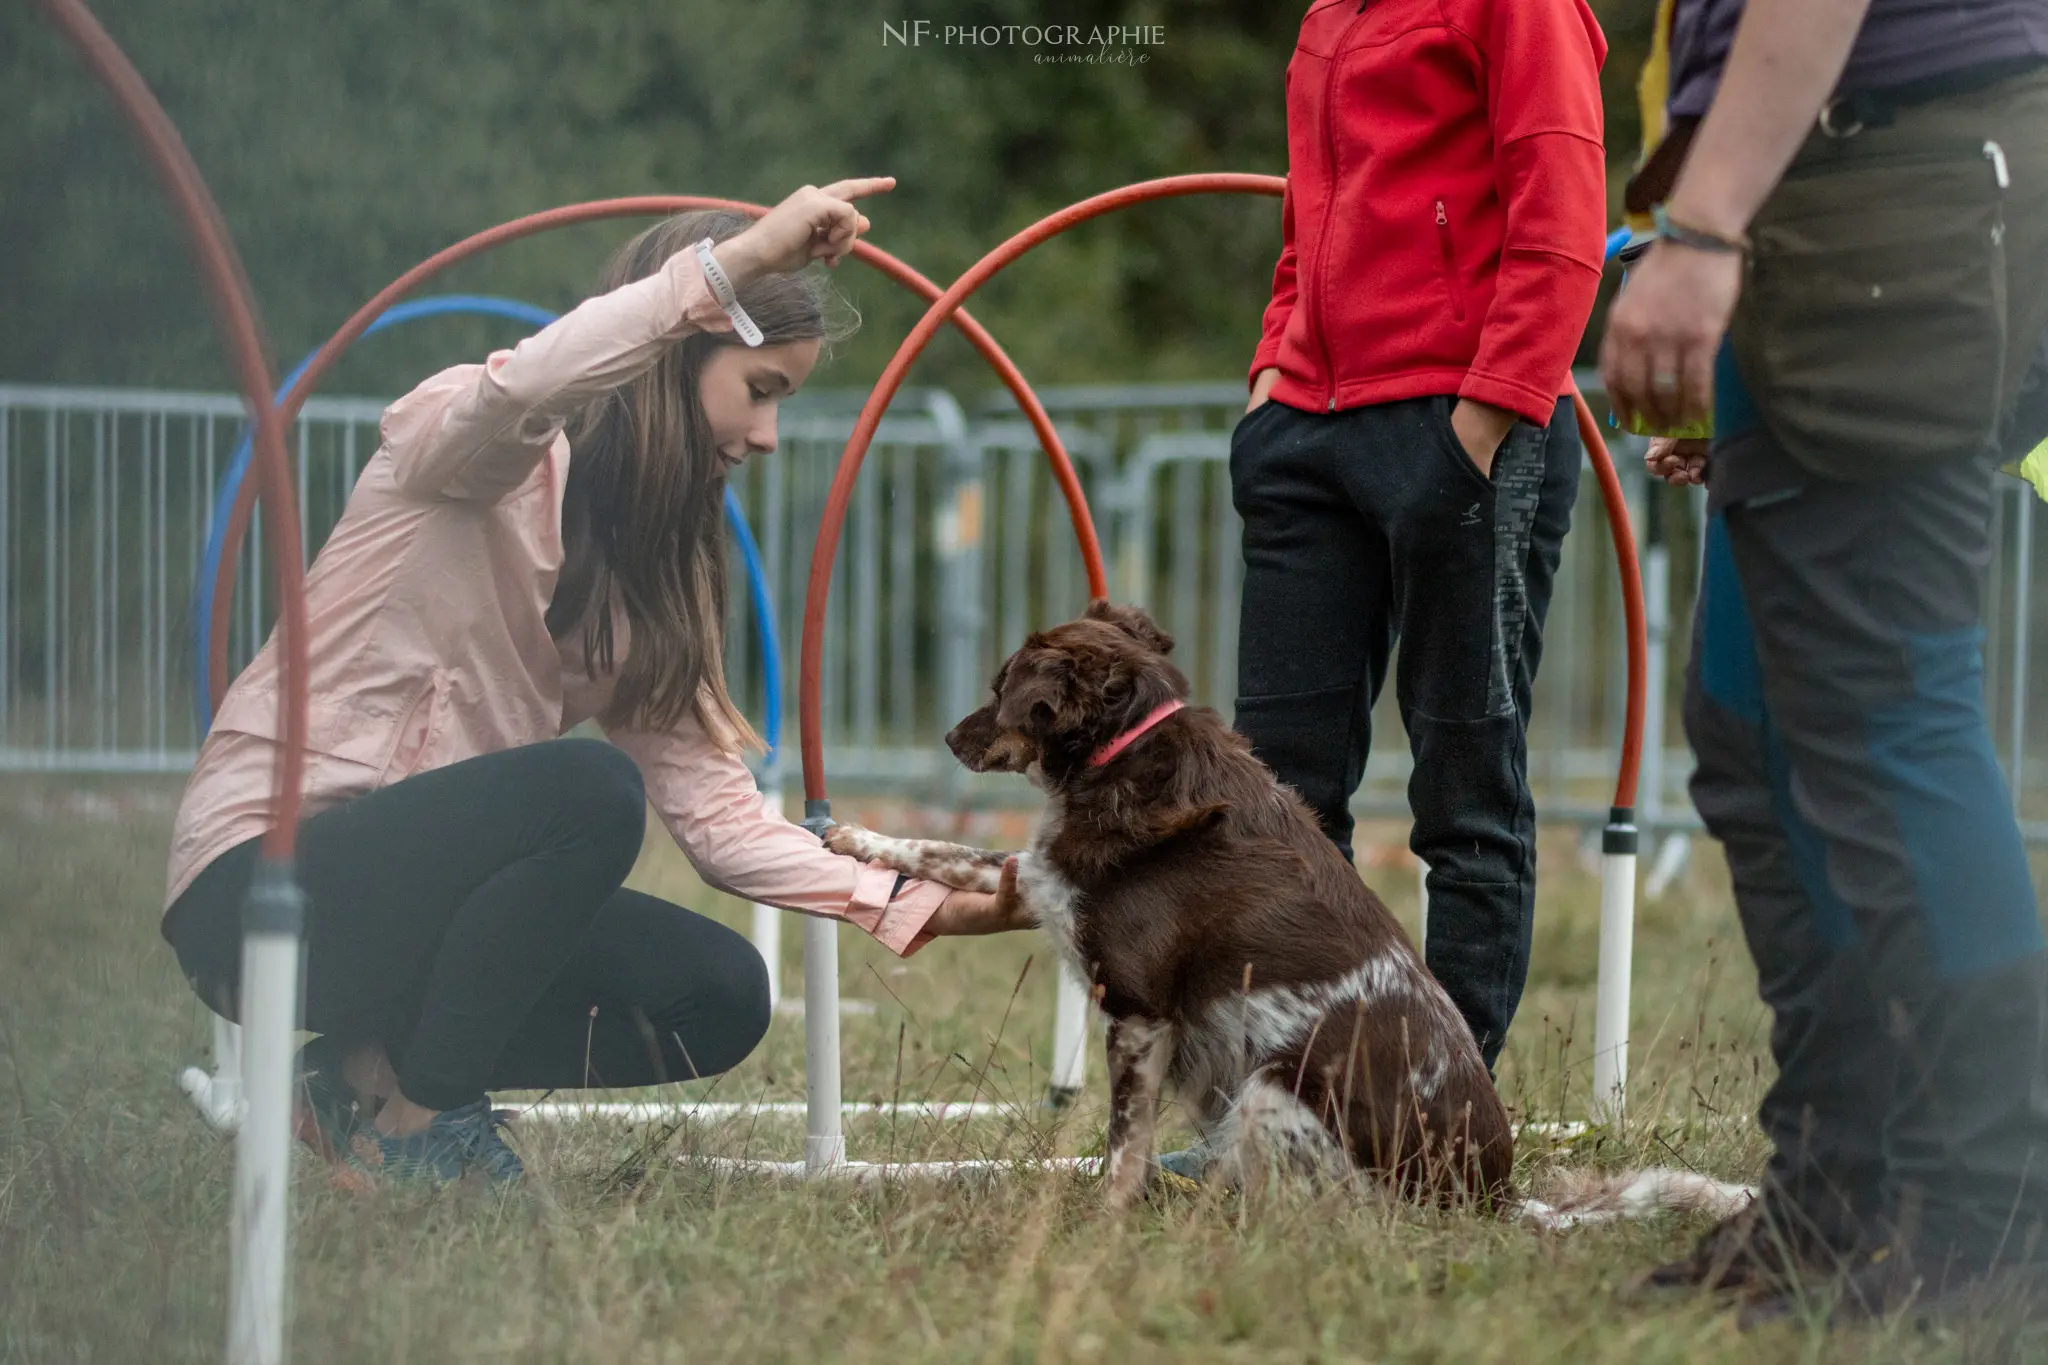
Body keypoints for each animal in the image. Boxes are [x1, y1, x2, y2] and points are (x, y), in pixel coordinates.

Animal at [823, 601, 1753, 1219]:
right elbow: (949, 854)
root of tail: (1495, 1197)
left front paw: (1106, 1221)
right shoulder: (1047, 885)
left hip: (1272, 1092)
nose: (949, 739)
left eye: (1003, 689)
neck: (1124, 756)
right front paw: (855, 838)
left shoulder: (1139, 1013)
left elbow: (1122, 1145)